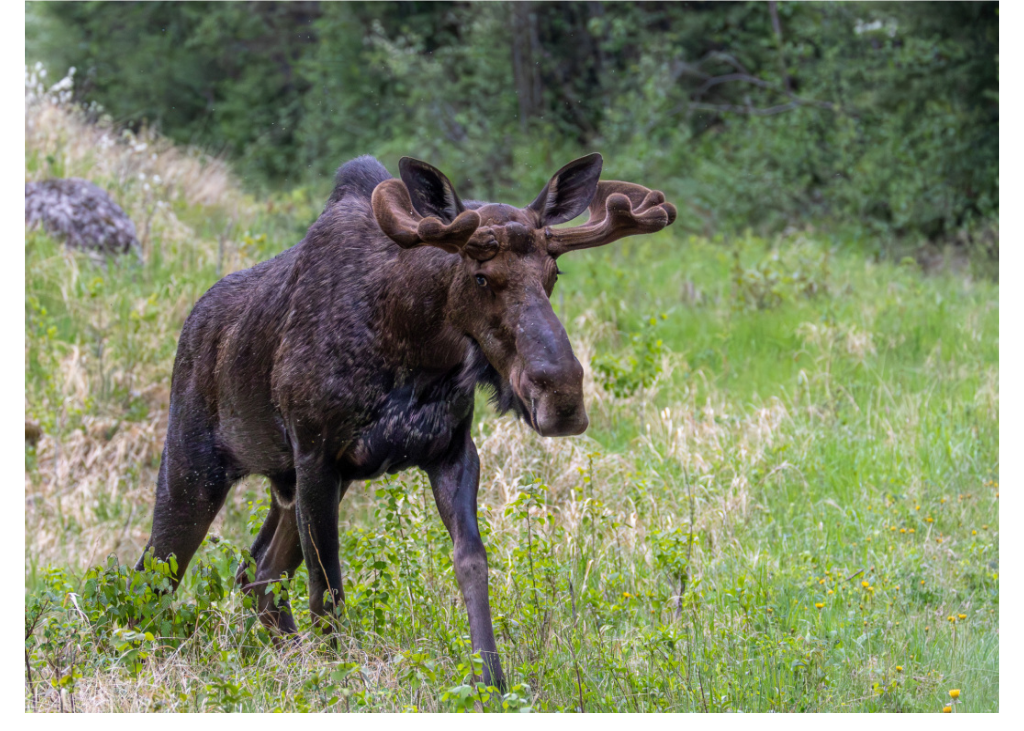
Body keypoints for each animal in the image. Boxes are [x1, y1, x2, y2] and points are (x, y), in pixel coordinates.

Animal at [136, 153, 675, 689]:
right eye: (481, 276)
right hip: (194, 467)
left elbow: (471, 562)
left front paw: (491, 678)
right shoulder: (316, 453)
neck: (417, 348)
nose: (562, 395)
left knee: (257, 573)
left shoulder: (450, 452)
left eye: (553, 273)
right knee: (153, 574)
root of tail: (191, 326)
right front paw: (339, 676)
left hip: (287, 485)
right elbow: (327, 585)